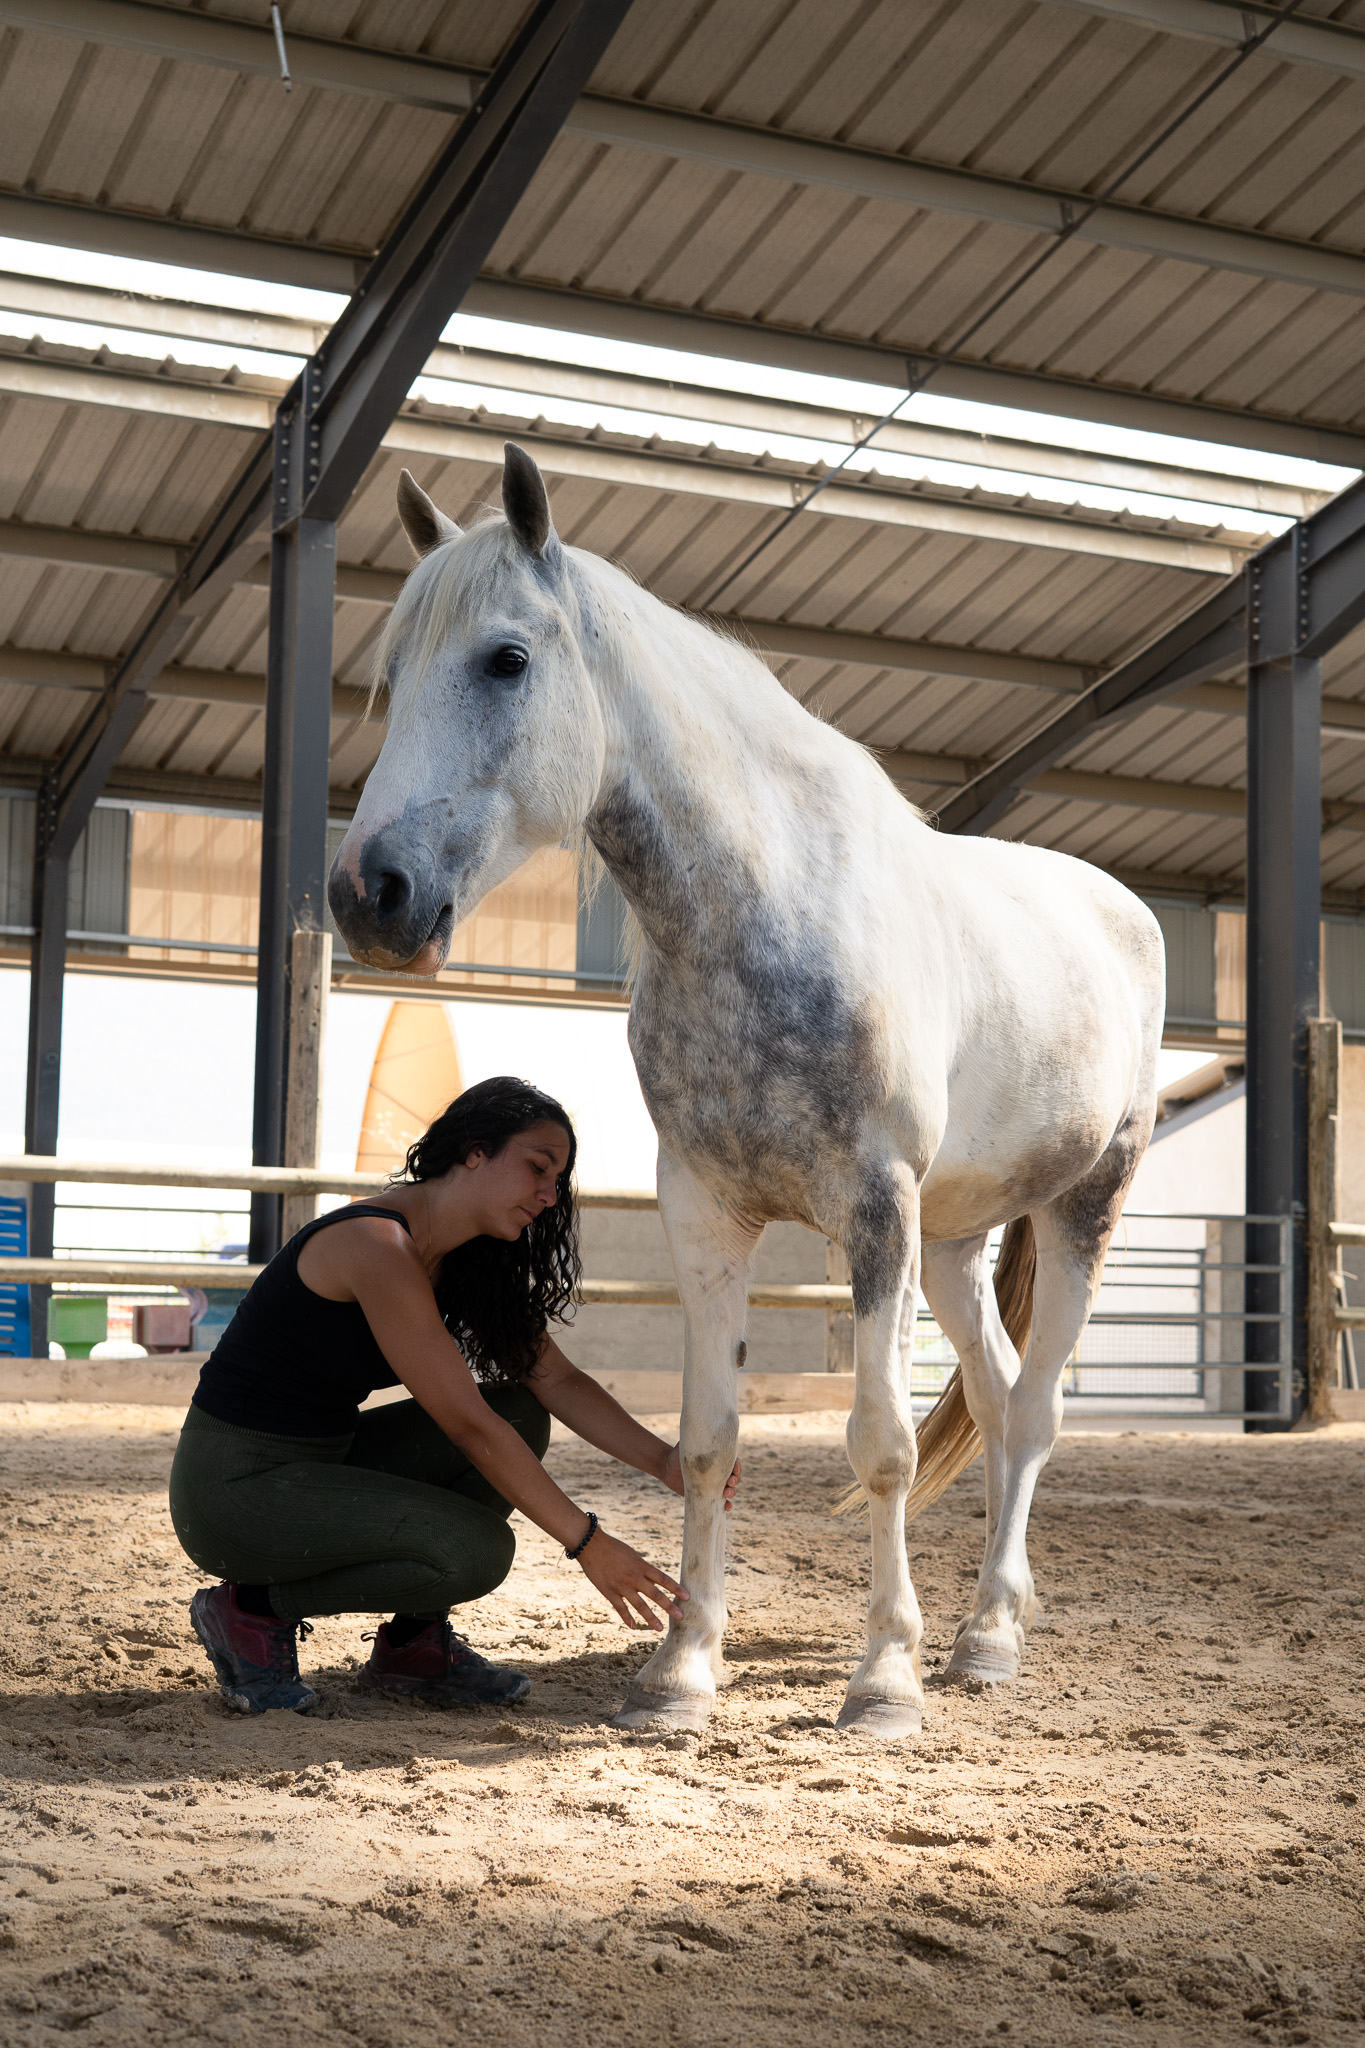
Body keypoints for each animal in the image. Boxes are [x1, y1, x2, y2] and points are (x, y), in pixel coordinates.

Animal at [329, 443, 1164, 1740]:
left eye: (506, 657)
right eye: (393, 670)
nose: (371, 893)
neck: (764, 908)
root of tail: (1122, 909)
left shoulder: (873, 1207)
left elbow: (879, 1441)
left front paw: (882, 1680)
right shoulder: (708, 1210)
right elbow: (711, 1441)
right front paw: (679, 1671)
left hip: (1083, 1205)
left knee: (1034, 1411)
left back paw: (981, 1640)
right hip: (956, 1238)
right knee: (995, 1393)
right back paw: (988, 1618)